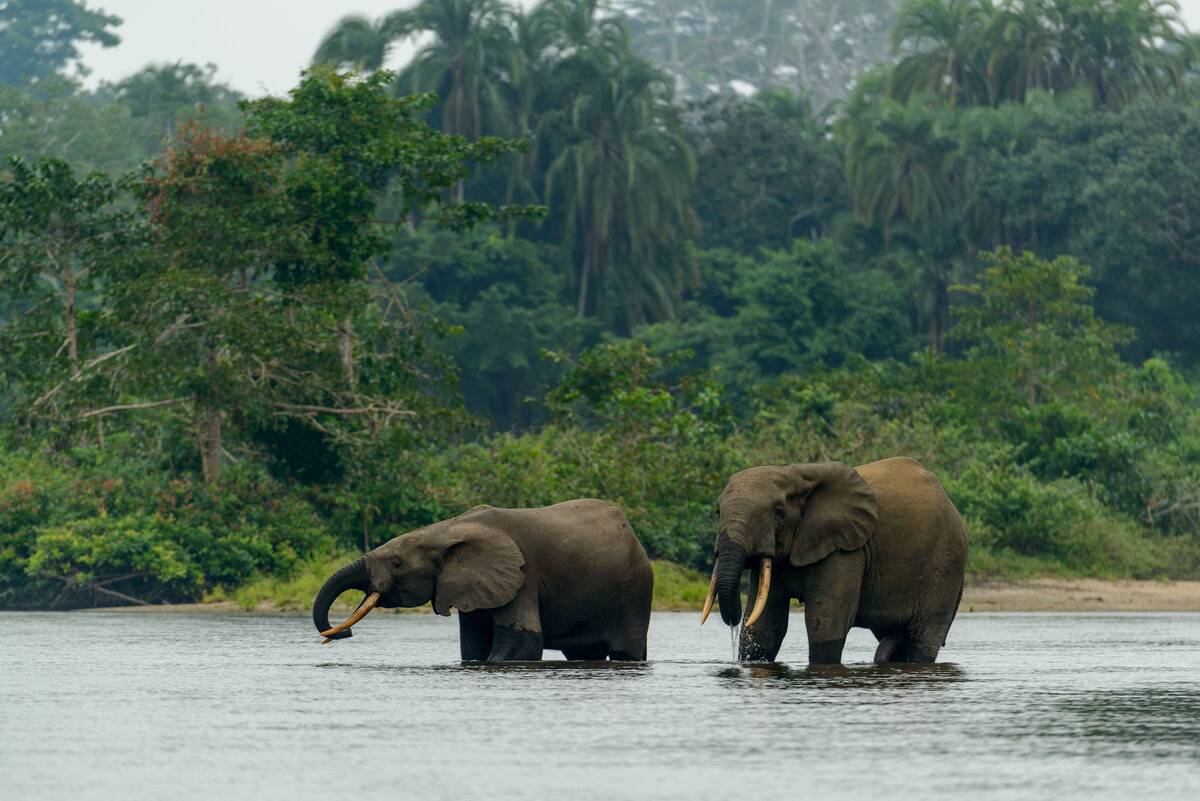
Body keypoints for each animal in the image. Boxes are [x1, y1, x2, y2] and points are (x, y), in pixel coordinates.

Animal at [312, 499, 653, 662]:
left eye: (397, 564)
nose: (344, 634)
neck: (446, 530)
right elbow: (472, 648)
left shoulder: (522, 575)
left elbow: (521, 646)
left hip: (635, 589)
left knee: (625, 651)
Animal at [701, 456, 967, 665]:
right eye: (717, 511)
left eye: (778, 512)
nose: (733, 622)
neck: (795, 474)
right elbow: (764, 626)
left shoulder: (845, 549)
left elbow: (826, 621)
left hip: (945, 563)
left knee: (923, 637)